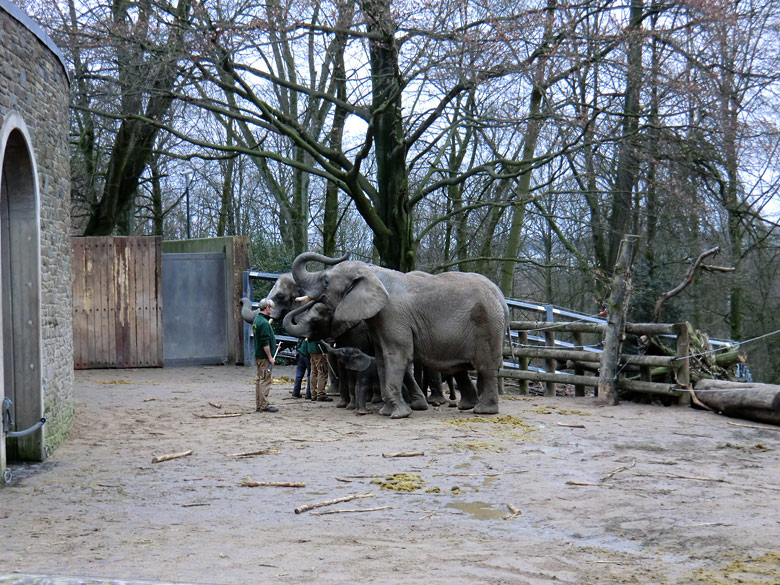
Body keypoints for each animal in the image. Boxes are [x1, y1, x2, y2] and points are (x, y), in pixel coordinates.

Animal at [290, 251, 508, 416]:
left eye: (326, 281)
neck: (372, 271)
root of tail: (500, 297)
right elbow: (381, 358)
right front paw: (387, 412)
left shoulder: (393, 315)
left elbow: (397, 356)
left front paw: (397, 415)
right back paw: (467, 406)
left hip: (487, 325)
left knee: (485, 366)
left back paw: (483, 411)